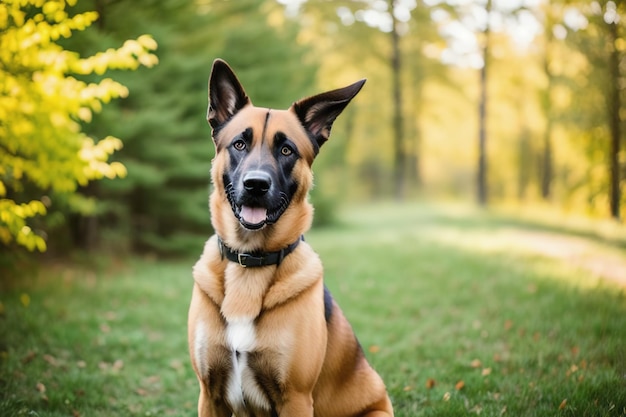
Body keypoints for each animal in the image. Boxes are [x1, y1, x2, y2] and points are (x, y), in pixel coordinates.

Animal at [185, 59, 392, 416]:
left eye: (286, 150)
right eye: (239, 144)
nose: (256, 185)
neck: (249, 261)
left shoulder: (295, 398)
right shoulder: (209, 395)